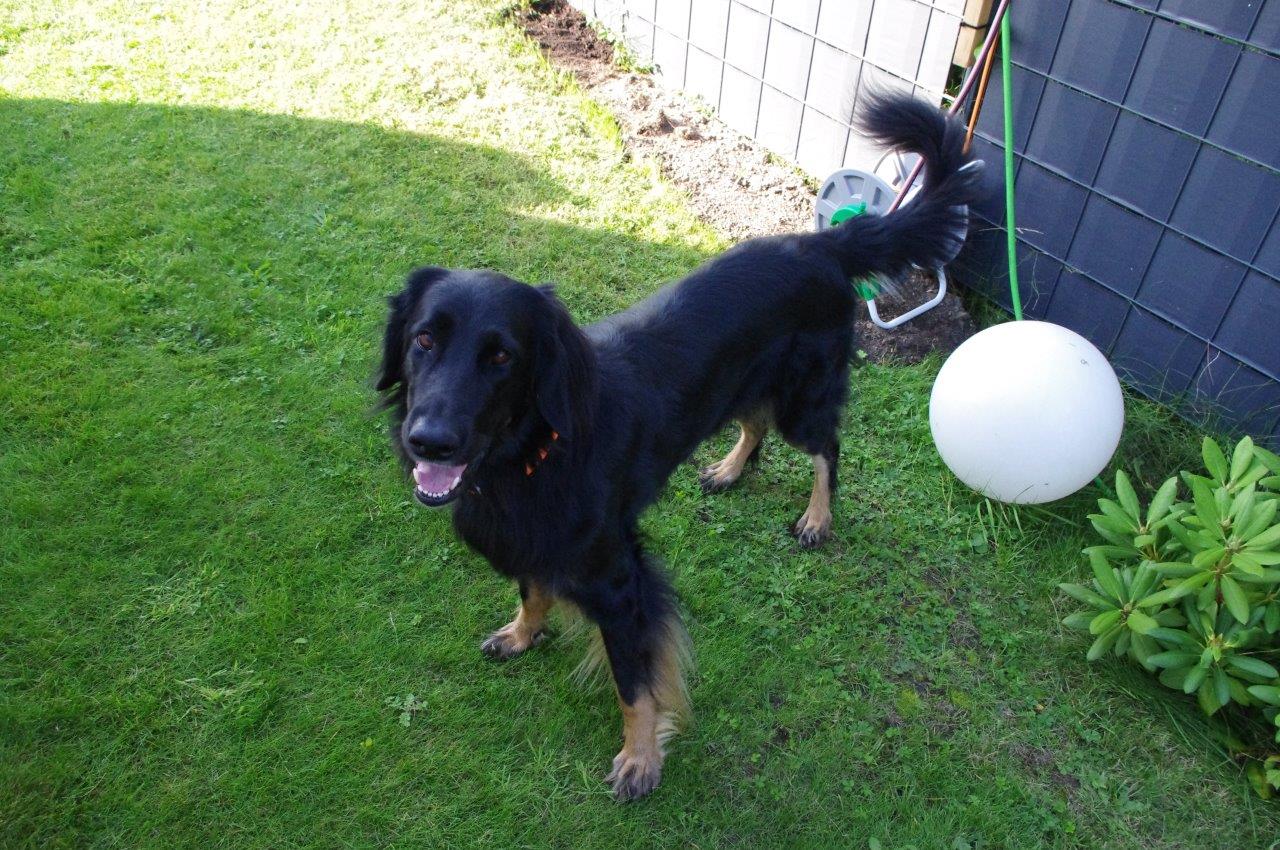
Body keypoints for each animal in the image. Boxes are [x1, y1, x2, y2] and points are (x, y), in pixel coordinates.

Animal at [376, 95, 981, 800]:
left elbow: (635, 683)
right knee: (755, 427)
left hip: (804, 396)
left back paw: (817, 517)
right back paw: (728, 470)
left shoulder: (620, 578)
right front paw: (524, 633)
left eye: (502, 358)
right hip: (743, 383)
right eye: (423, 340)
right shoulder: (534, 536)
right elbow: (533, 589)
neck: (534, 452)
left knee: (827, 447)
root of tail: (820, 242)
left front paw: (641, 758)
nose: (430, 441)